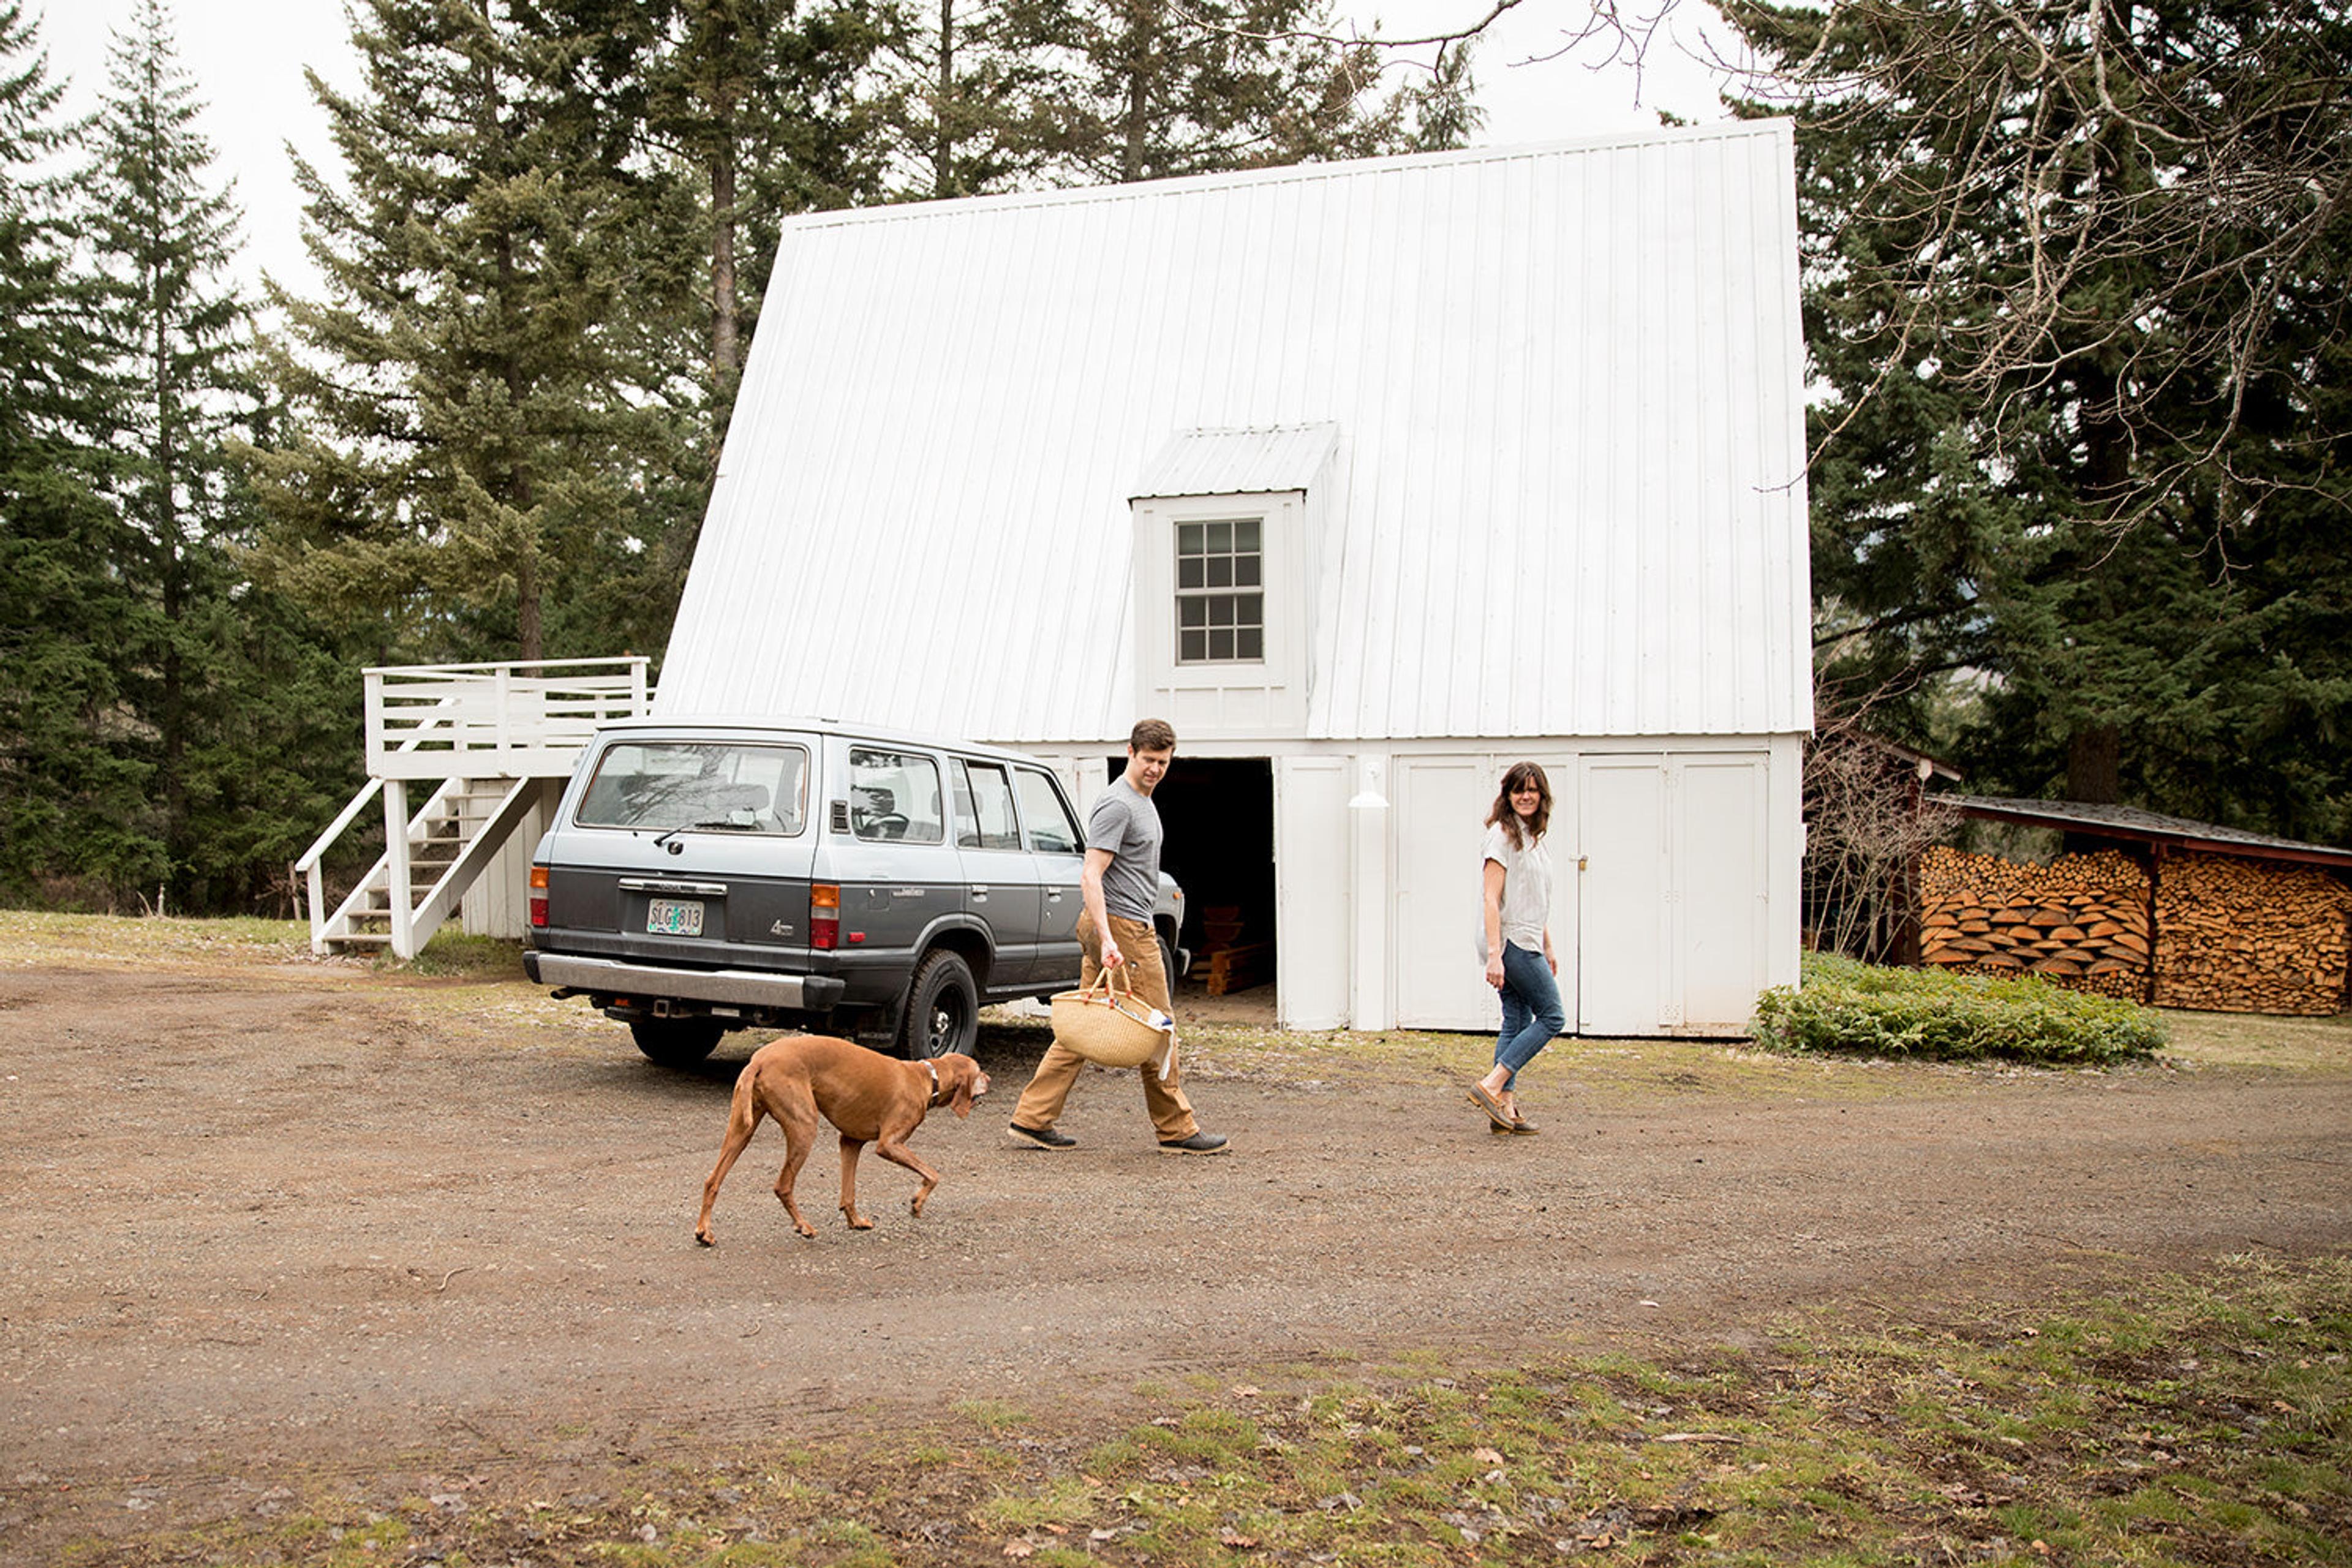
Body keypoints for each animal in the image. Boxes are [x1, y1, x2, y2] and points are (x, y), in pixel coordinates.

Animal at [696, 1034, 992, 1241]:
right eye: (979, 1071)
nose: (990, 1079)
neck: (928, 1078)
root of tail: (759, 1060)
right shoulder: (889, 1145)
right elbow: (933, 1174)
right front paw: (917, 1203)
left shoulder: (850, 1142)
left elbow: (848, 1193)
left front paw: (855, 1221)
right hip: (804, 1128)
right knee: (783, 1186)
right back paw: (803, 1226)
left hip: (740, 1131)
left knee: (712, 1180)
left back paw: (704, 1232)